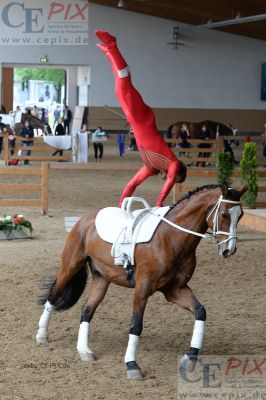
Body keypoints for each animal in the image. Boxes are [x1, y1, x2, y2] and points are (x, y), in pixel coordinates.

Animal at [35, 183, 247, 380]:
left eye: (241, 215)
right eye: (225, 214)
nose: (229, 250)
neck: (171, 237)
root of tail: (84, 218)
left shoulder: (175, 290)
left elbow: (200, 311)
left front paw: (190, 359)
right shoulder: (142, 288)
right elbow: (136, 325)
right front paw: (132, 365)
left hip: (102, 278)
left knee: (87, 310)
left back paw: (84, 351)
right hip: (70, 267)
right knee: (53, 296)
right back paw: (42, 335)